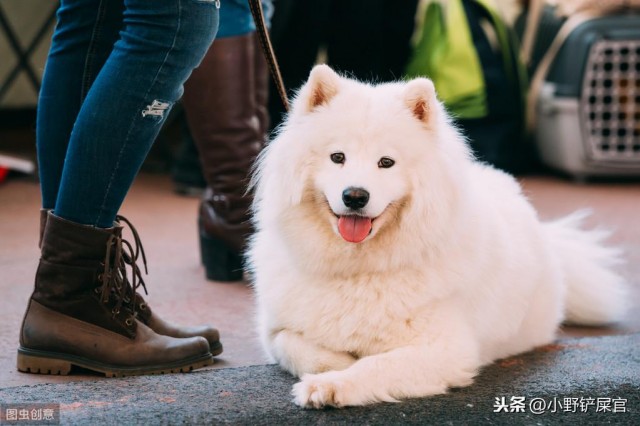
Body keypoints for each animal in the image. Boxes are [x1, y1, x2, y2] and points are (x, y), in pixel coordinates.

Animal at [248, 65, 628, 408]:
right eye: (337, 157)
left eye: (386, 162)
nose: (355, 196)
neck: (357, 269)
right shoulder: (274, 330)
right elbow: (296, 346)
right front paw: (336, 365)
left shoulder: (444, 349)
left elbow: (377, 365)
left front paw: (331, 385)